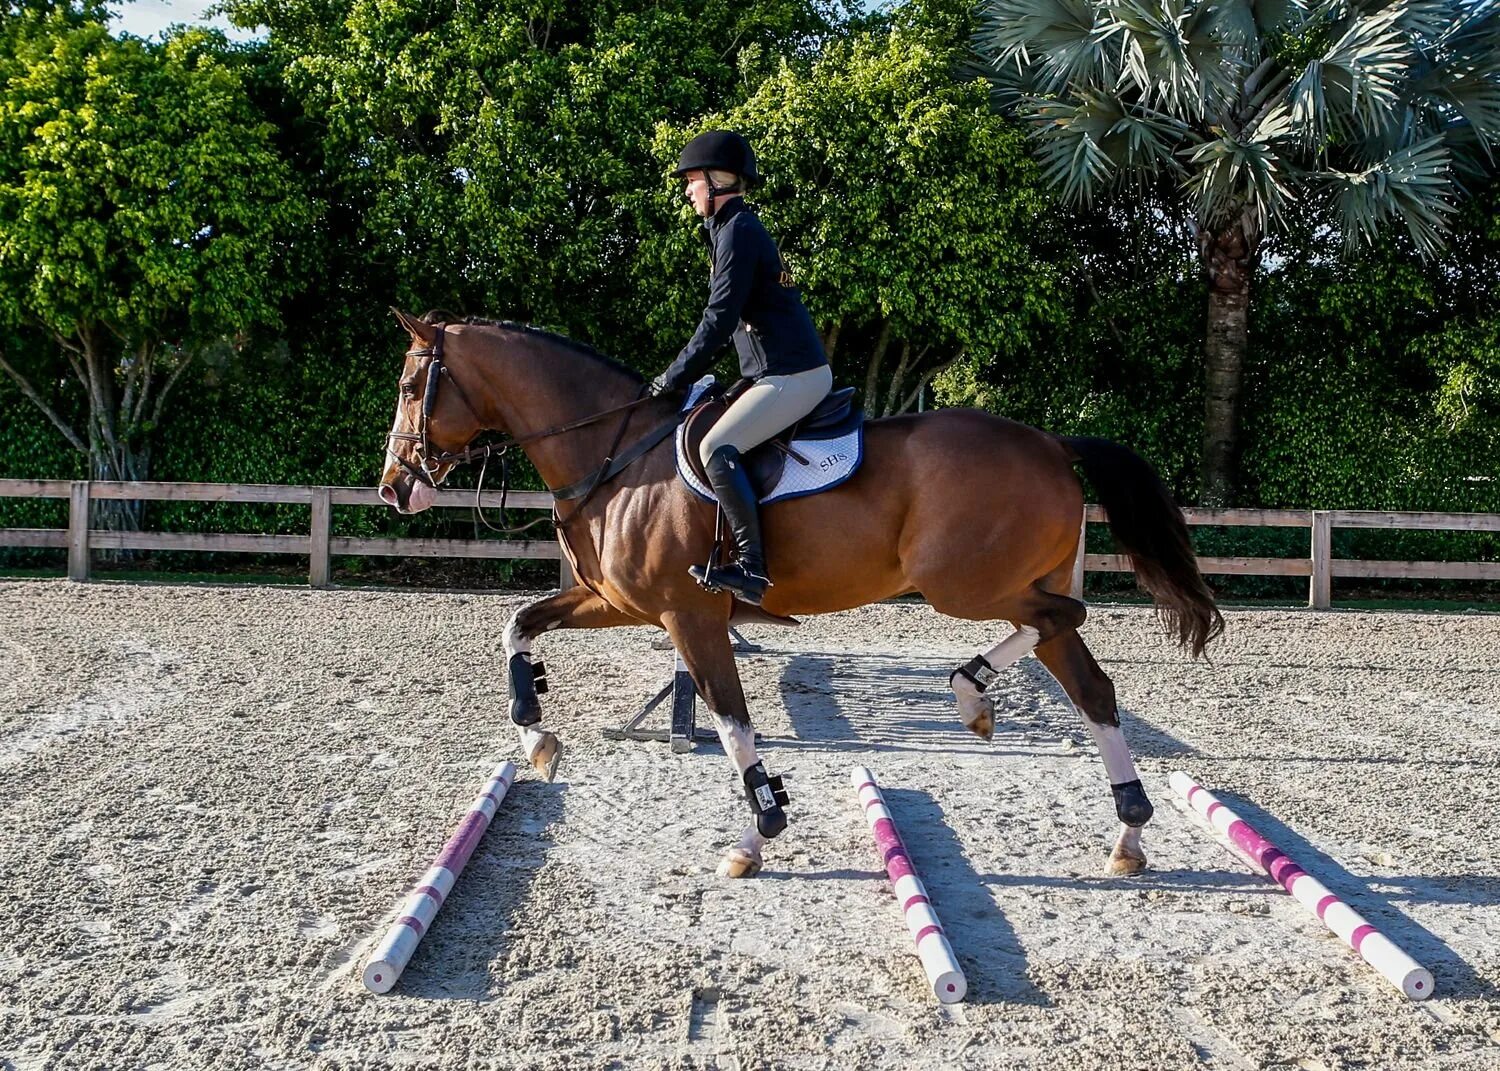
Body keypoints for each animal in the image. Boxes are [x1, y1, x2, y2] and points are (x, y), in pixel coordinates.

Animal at [375, 309, 1218, 876]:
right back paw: (1123, 827)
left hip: (967, 582)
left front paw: (758, 833)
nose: (393, 488)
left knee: (1063, 616)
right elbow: (518, 627)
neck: (618, 453)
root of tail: (1051, 441)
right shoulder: (618, 600)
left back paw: (970, 692)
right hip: (998, 585)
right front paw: (537, 739)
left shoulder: (689, 615)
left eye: (414, 384)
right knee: (1090, 683)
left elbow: (731, 724)